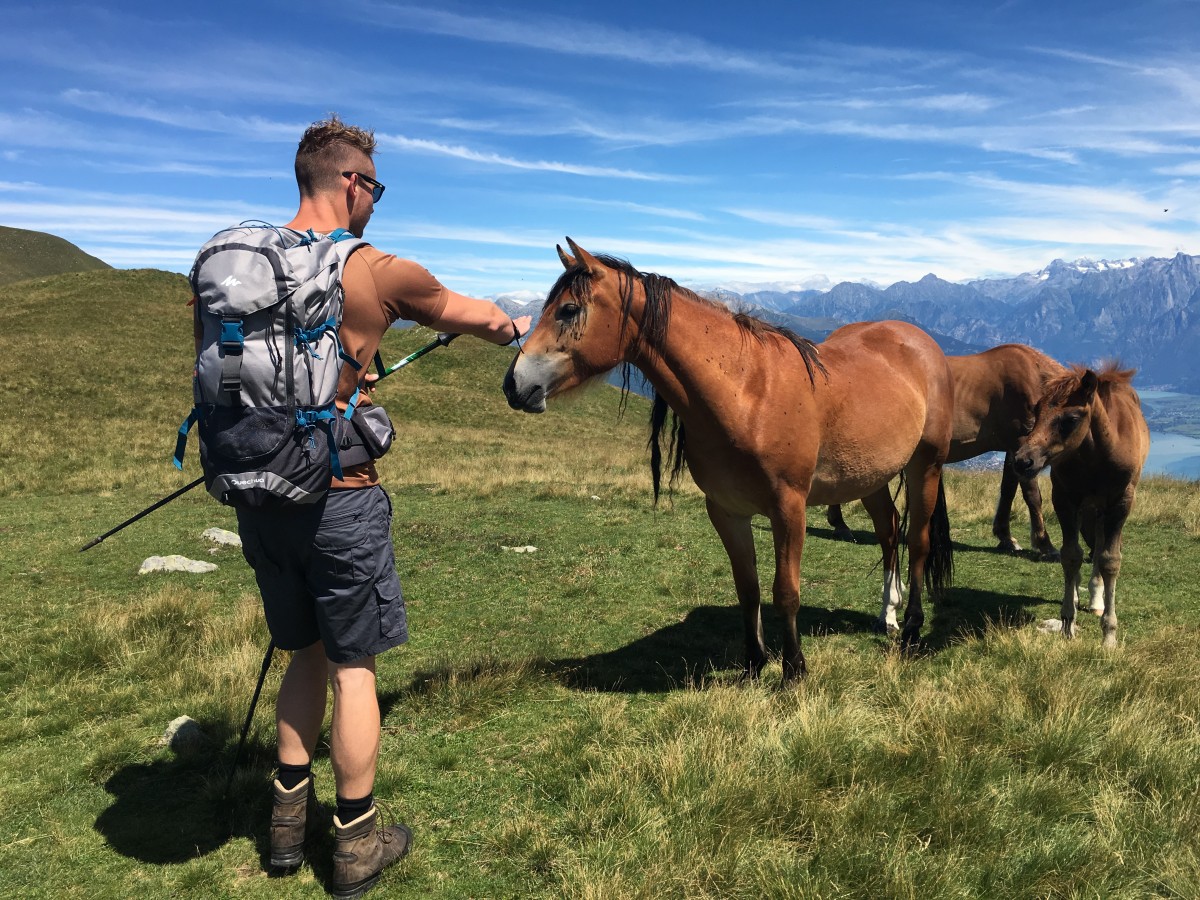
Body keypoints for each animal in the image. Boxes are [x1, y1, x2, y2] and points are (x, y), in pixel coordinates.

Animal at [503, 239, 955, 680]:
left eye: (568, 309)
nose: (514, 384)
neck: (748, 392)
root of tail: (921, 342)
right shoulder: (726, 511)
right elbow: (747, 588)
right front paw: (754, 664)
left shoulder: (788, 509)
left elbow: (785, 592)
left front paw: (794, 671)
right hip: (869, 476)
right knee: (889, 530)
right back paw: (888, 614)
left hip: (925, 467)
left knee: (918, 541)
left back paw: (911, 628)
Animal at [826, 343, 1066, 560]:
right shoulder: (1020, 440)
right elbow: (1032, 495)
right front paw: (1045, 544)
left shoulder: (1013, 449)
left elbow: (1008, 490)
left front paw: (1005, 537)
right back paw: (841, 525)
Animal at [1012, 363, 1149, 648]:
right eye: (1036, 411)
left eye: (1071, 419)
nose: (1022, 460)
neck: (1096, 455)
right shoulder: (1064, 499)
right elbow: (1070, 555)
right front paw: (1067, 624)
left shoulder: (1121, 502)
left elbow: (1110, 560)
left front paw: (1109, 635)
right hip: (1084, 506)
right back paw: (1076, 594)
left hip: (1101, 509)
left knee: (1098, 548)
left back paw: (1096, 600)